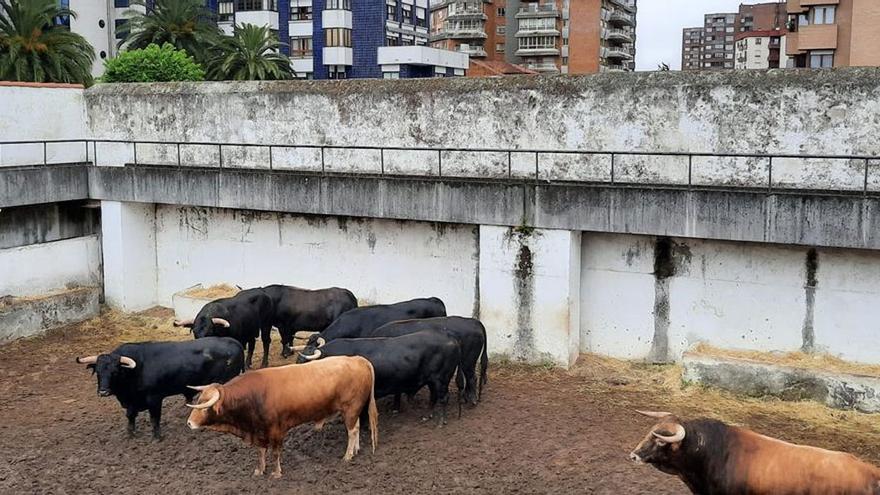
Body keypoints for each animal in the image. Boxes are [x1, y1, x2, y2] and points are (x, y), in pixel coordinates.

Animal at [186, 354, 378, 478]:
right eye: (199, 400)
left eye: (205, 408)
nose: (189, 423)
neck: (254, 396)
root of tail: (358, 359)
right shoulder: (260, 431)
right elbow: (261, 451)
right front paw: (260, 470)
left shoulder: (277, 430)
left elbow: (275, 453)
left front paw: (276, 473)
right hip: (354, 410)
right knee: (356, 427)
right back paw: (356, 450)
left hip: (350, 408)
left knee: (352, 431)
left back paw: (348, 455)